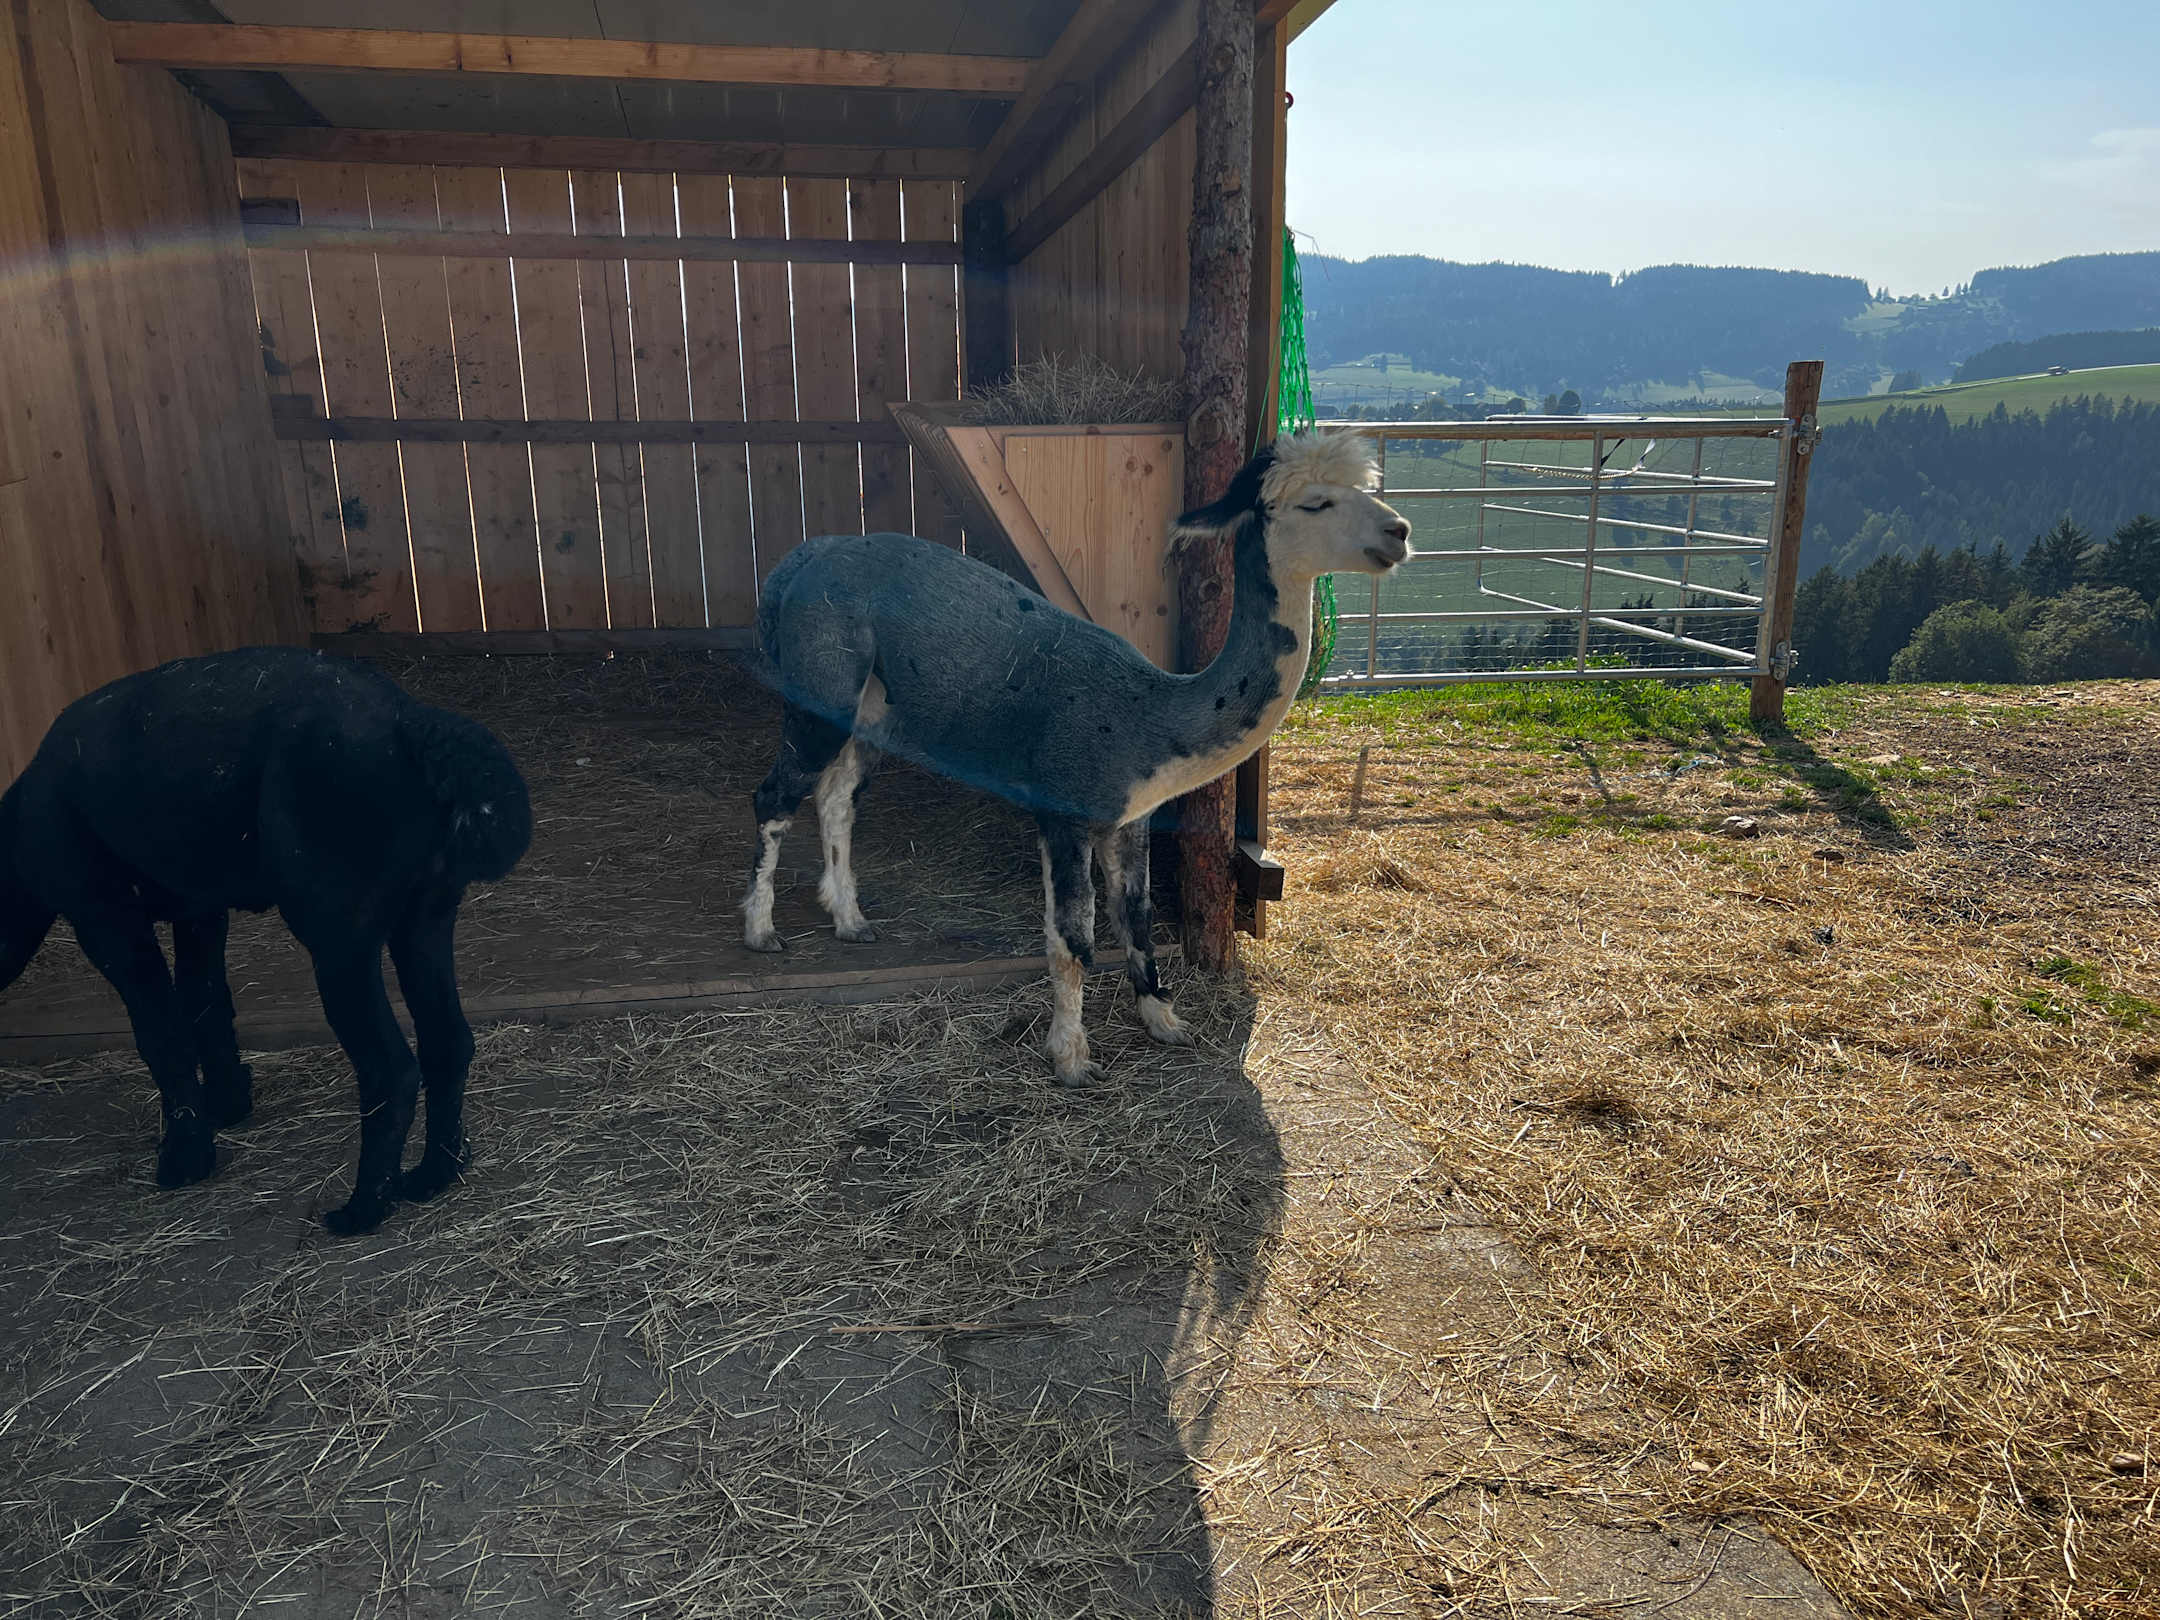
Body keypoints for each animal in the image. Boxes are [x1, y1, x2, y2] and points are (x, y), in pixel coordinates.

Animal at [0, 647, 531, 1235]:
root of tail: (409, 721)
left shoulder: (104, 915)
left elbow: (161, 1032)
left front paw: (184, 1158)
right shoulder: (199, 907)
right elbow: (206, 1003)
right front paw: (228, 1104)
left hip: (338, 933)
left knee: (390, 1069)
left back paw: (363, 1209)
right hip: (426, 915)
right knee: (448, 1042)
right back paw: (433, 1175)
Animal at [744, 428, 1410, 1083]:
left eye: (1368, 490)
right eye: (1314, 504)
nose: (1399, 532)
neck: (1150, 714)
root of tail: (806, 557)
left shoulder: (1130, 816)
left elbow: (1136, 915)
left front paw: (1163, 1019)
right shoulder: (1064, 809)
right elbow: (1074, 939)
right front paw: (1070, 1055)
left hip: (871, 710)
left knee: (835, 797)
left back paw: (849, 919)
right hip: (821, 683)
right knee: (774, 797)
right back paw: (760, 929)